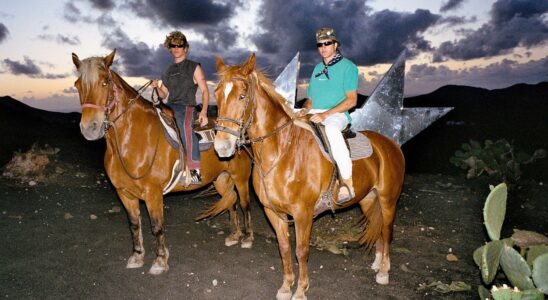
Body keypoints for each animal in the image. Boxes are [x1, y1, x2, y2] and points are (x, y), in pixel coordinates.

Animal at [70, 49, 255, 276]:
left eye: (104, 82)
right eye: (77, 85)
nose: (90, 128)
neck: (132, 140)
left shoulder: (153, 193)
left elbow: (157, 226)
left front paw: (160, 260)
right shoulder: (125, 193)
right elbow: (134, 224)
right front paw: (137, 256)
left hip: (240, 178)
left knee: (245, 204)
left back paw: (247, 238)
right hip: (221, 179)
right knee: (231, 202)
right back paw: (234, 235)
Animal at [214, 54, 406, 300]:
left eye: (242, 95)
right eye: (217, 94)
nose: (222, 146)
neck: (282, 151)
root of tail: (391, 144)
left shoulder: (302, 214)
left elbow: (301, 250)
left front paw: (300, 290)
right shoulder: (273, 212)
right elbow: (284, 248)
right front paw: (286, 287)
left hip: (388, 199)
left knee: (387, 230)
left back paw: (383, 271)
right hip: (367, 200)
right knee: (378, 227)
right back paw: (378, 263)